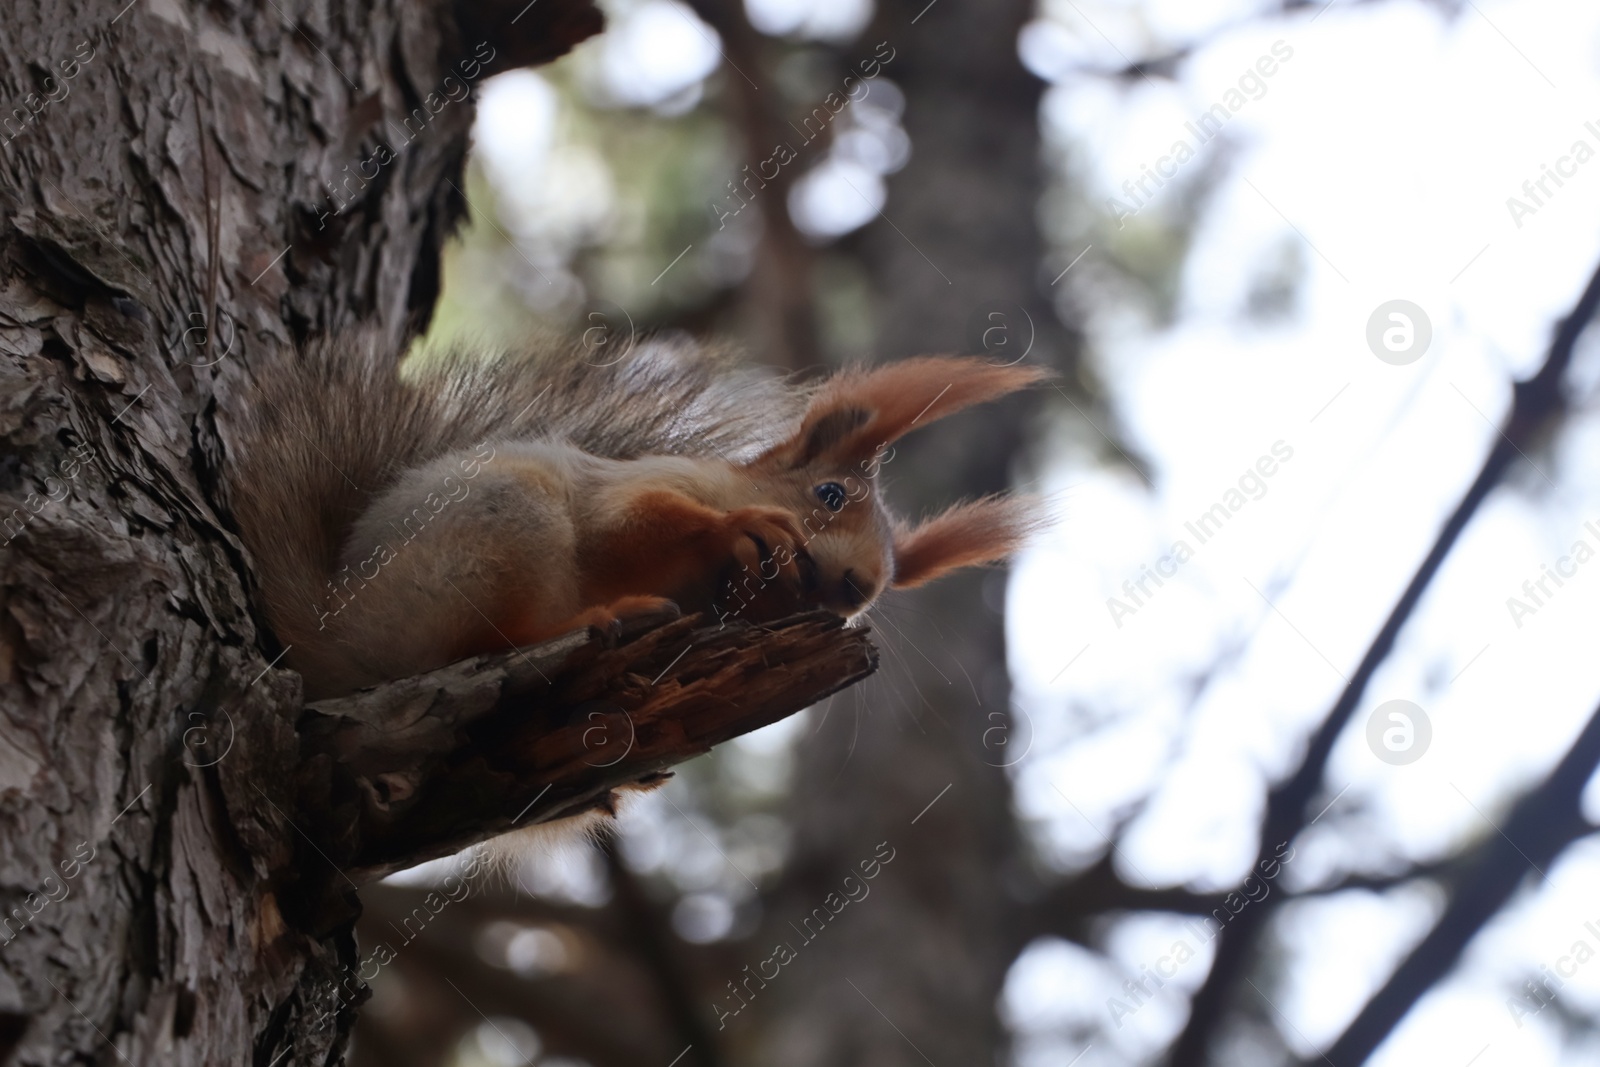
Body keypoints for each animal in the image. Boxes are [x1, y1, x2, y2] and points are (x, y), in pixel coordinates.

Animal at [228, 334, 1049, 700]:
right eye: (830, 496)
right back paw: (602, 615)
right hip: (502, 526)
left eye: (885, 584)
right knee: (478, 643)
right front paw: (740, 531)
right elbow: (629, 523)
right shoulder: (638, 484)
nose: (856, 588)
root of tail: (335, 631)